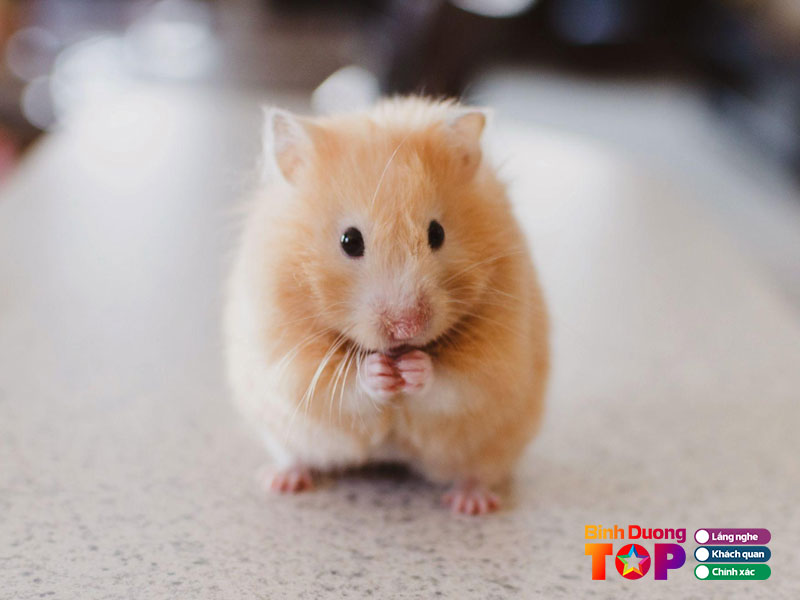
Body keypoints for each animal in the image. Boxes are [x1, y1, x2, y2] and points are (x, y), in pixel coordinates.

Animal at [223, 97, 548, 515]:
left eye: (437, 233)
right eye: (350, 241)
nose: (407, 328)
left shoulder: (497, 359)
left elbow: (455, 383)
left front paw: (413, 369)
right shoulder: (287, 357)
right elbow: (340, 385)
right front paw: (379, 372)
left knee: (477, 472)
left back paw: (471, 504)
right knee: (294, 456)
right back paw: (280, 481)